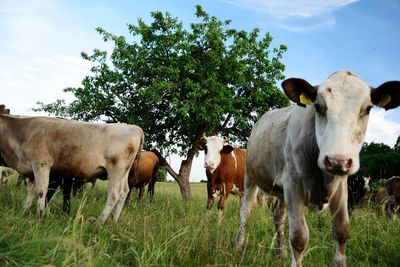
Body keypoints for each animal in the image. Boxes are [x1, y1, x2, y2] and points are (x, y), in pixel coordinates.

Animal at [0, 105, 144, 223]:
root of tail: (134, 127)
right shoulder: (29, 169)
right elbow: (29, 191)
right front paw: (25, 211)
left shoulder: (41, 165)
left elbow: (41, 191)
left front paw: (40, 216)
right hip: (124, 172)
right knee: (124, 192)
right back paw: (114, 221)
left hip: (116, 169)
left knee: (114, 194)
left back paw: (99, 222)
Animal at [234, 70, 400, 266]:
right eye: (318, 107)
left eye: (367, 108)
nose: (337, 161)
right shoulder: (293, 186)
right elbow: (299, 237)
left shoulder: (341, 190)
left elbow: (342, 232)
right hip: (250, 177)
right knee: (245, 211)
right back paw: (238, 247)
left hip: (281, 191)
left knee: (278, 216)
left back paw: (281, 253)